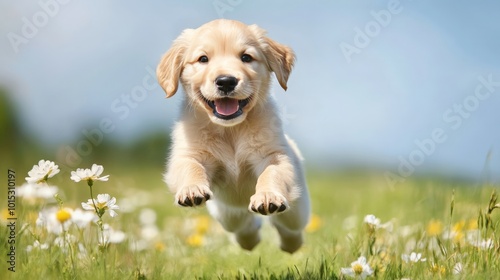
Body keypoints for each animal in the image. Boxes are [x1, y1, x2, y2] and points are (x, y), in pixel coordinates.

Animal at [158, 18, 310, 253]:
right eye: (203, 59)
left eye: (246, 57)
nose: (226, 81)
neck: (230, 129)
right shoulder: (188, 154)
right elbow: (190, 167)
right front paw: (191, 189)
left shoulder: (273, 155)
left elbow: (271, 173)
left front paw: (267, 196)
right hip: (226, 212)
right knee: (243, 224)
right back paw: (250, 239)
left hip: (298, 205)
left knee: (288, 225)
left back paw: (290, 244)